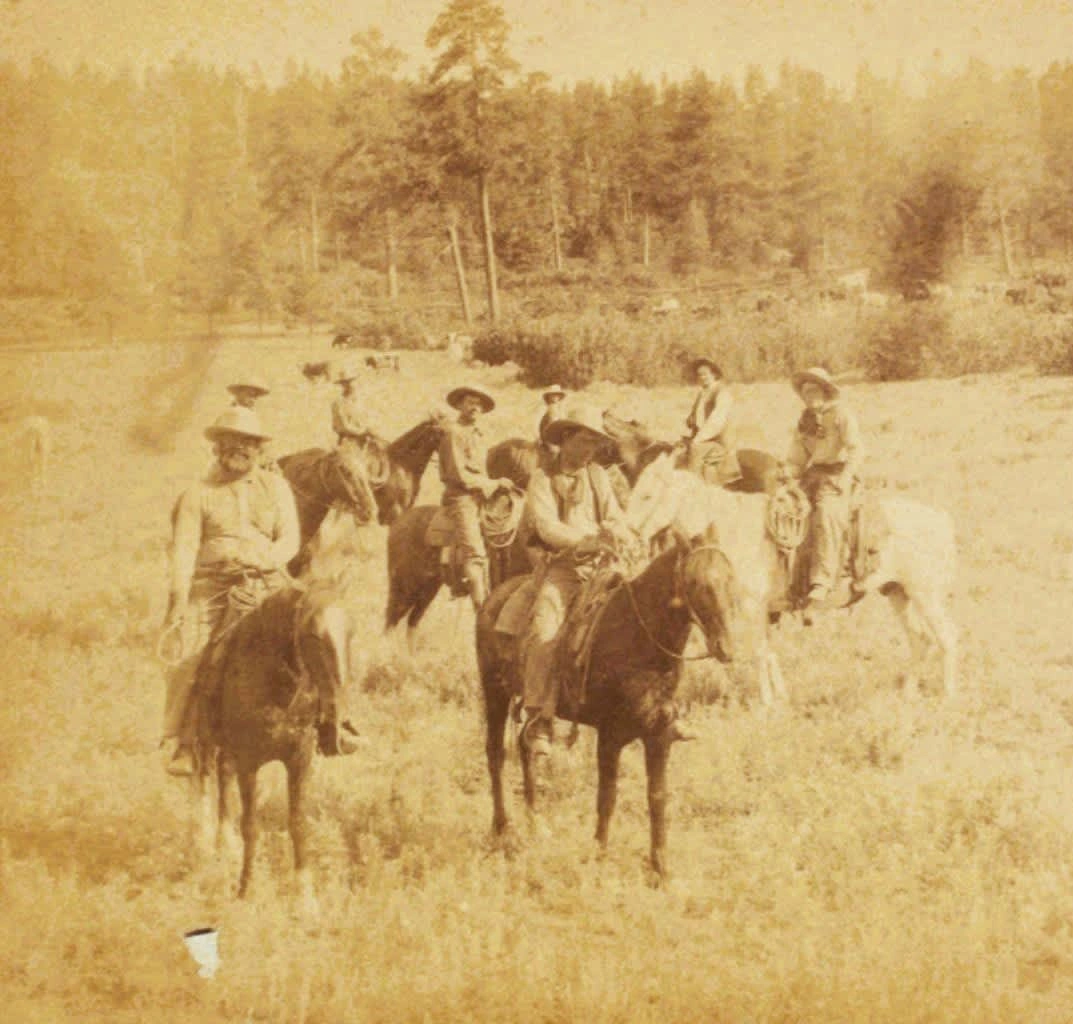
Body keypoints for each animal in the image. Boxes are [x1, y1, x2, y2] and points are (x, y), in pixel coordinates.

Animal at [195, 579, 358, 905]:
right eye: (313, 636)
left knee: (223, 775)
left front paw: (305, 898)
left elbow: (297, 824)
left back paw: (225, 847)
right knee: (210, 782)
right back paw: (212, 846)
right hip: (210, 742)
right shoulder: (249, 763)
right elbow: (251, 826)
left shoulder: (300, 760)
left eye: (351, 631)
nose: (339, 716)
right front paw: (246, 890)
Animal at [476, 525, 738, 880]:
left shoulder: (659, 735)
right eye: (697, 582)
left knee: (526, 746)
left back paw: (536, 823)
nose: (726, 647)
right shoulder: (610, 735)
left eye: (730, 577)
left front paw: (661, 868)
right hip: (495, 692)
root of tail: (495, 596)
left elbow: (657, 798)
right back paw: (503, 827)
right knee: (496, 754)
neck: (637, 636)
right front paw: (599, 856)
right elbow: (607, 797)